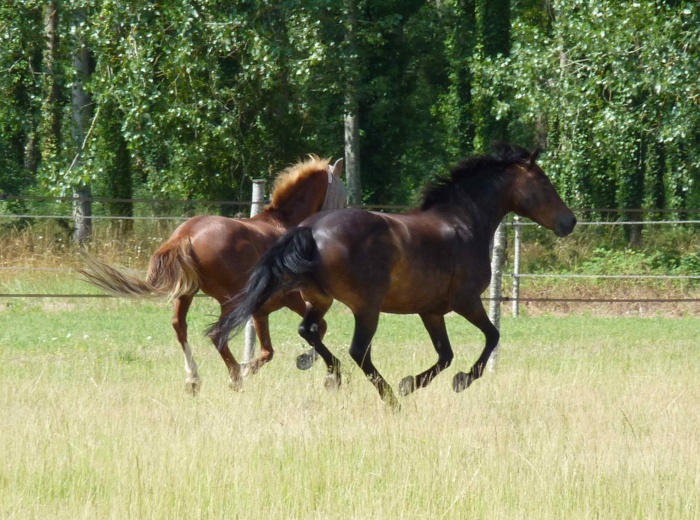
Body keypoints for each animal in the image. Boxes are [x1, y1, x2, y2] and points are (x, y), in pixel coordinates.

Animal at [79, 156, 348, 392]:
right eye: (343, 194)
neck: (283, 223)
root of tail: (185, 234)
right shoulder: (290, 299)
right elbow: (318, 327)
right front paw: (307, 362)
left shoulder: (260, 311)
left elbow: (267, 351)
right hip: (231, 300)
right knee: (217, 335)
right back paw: (235, 378)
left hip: (187, 293)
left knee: (180, 327)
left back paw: (194, 379)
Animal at [211, 144, 576, 408]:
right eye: (544, 182)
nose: (569, 221)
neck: (462, 224)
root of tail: (310, 230)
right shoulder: (466, 302)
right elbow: (491, 337)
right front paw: (458, 381)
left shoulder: (431, 311)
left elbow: (445, 355)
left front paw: (410, 384)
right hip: (367, 308)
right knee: (358, 351)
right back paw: (388, 399)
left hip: (320, 299)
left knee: (310, 331)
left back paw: (336, 376)